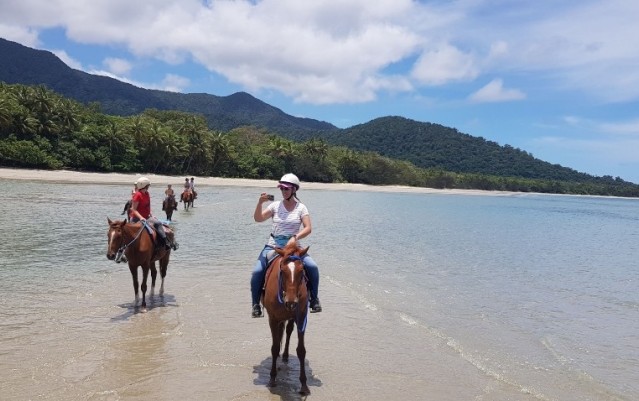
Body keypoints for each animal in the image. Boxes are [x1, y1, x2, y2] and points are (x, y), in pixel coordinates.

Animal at [262, 241, 312, 394]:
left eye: (302, 271)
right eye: (283, 271)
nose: (291, 302)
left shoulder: (301, 317)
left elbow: (301, 350)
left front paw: (304, 384)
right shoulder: (273, 319)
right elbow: (274, 347)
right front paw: (272, 378)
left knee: (288, 331)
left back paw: (284, 355)